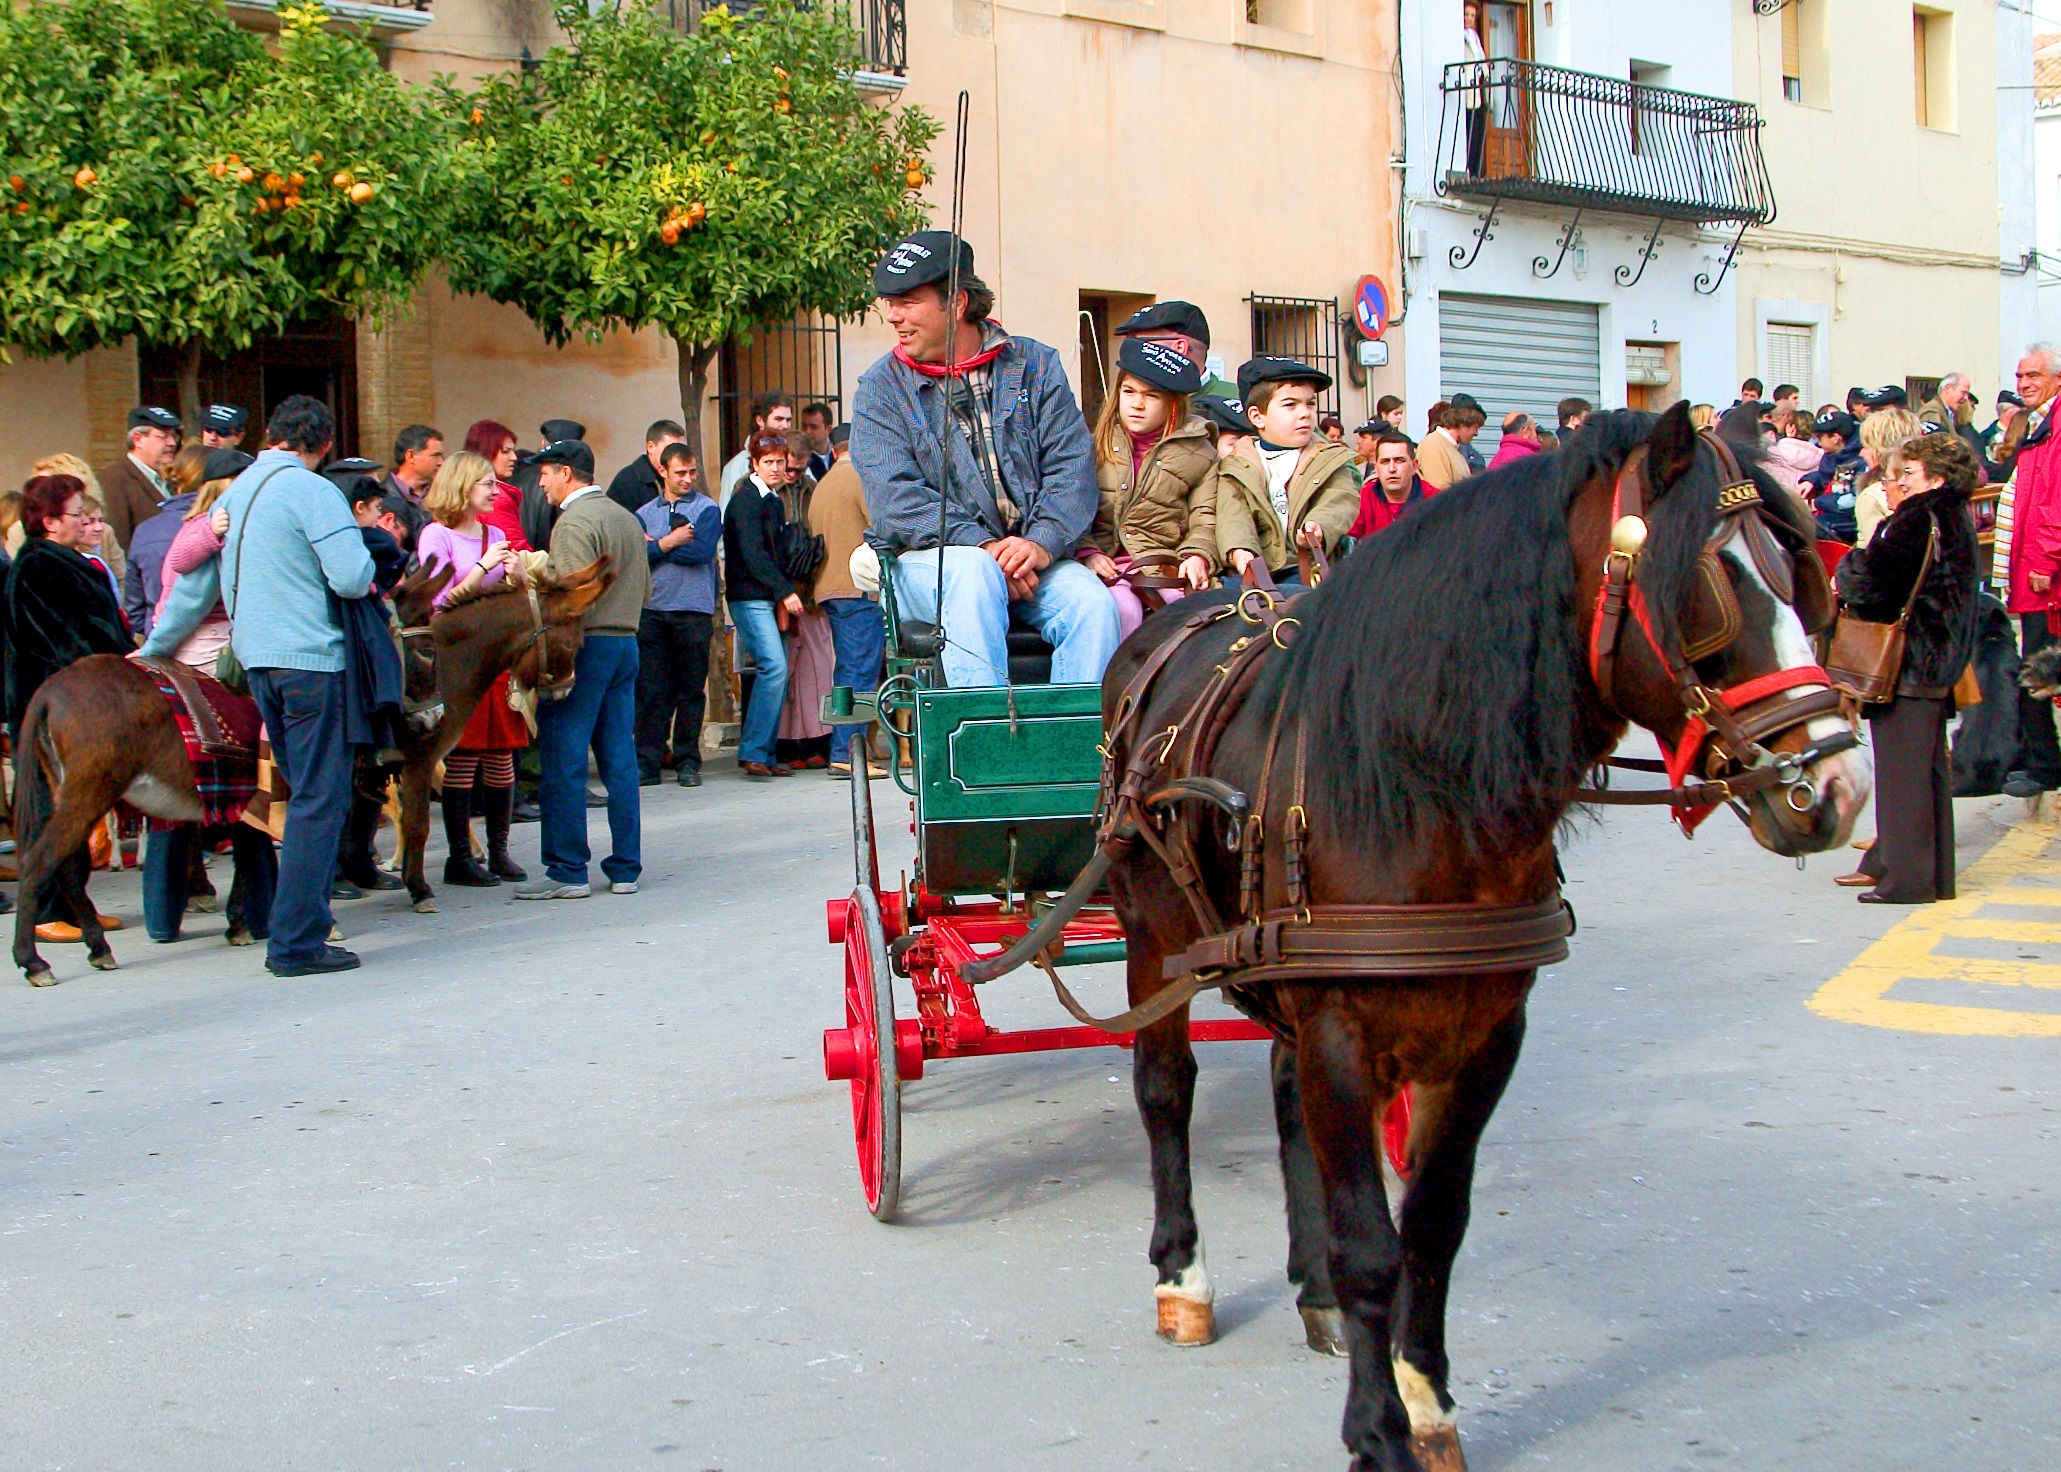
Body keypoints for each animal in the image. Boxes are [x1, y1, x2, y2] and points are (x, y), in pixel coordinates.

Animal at [993, 406, 1871, 1467]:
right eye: (1709, 589)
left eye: (1802, 577)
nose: (1834, 787)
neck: (1416, 782)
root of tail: (1168, 618)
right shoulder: (1341, 1027)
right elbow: (1373, 1245)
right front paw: (1376, 1431)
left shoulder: (1481, 1034)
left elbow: (1433, 1228)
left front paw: (1425, 1402)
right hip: (1151, 935)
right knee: (1165, 1093)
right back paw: (1182, 1281)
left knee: (1286, 1104)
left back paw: (1311, 1291)